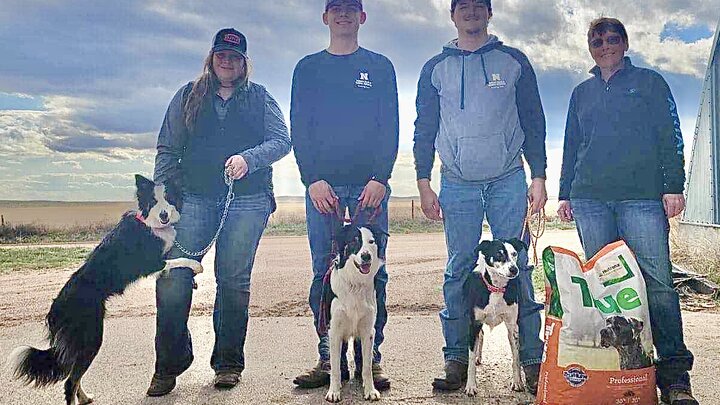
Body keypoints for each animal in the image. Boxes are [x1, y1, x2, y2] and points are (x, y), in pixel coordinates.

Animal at [9, 174, 202, 404]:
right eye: (153, 201)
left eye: (168, 198)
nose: (164, 214)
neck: (149, 222)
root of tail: (55, 311)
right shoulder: (151, 263)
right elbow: (178, 259)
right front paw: (196, 265)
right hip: (90, 336)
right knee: (69, 381)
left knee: (74, 377)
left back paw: (85, 397)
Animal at [322, 223, 386, 402]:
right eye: (354, 241)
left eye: (371, 241)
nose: (366, 256)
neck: (355, 283)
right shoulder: (334, 331)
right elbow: (335, 367)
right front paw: (334, 391)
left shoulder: (367, 332)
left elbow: (367, 367)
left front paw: (370, 390)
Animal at [464, 237, 524, 394]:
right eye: (499, 254)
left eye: (514, 253)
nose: (514, 269)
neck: (497, 288)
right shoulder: (474, 324)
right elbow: (470, 359)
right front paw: (471, 386)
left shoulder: (512, 327)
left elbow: (516, 357)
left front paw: (517, 382)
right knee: (480, 336)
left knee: (482, 335)